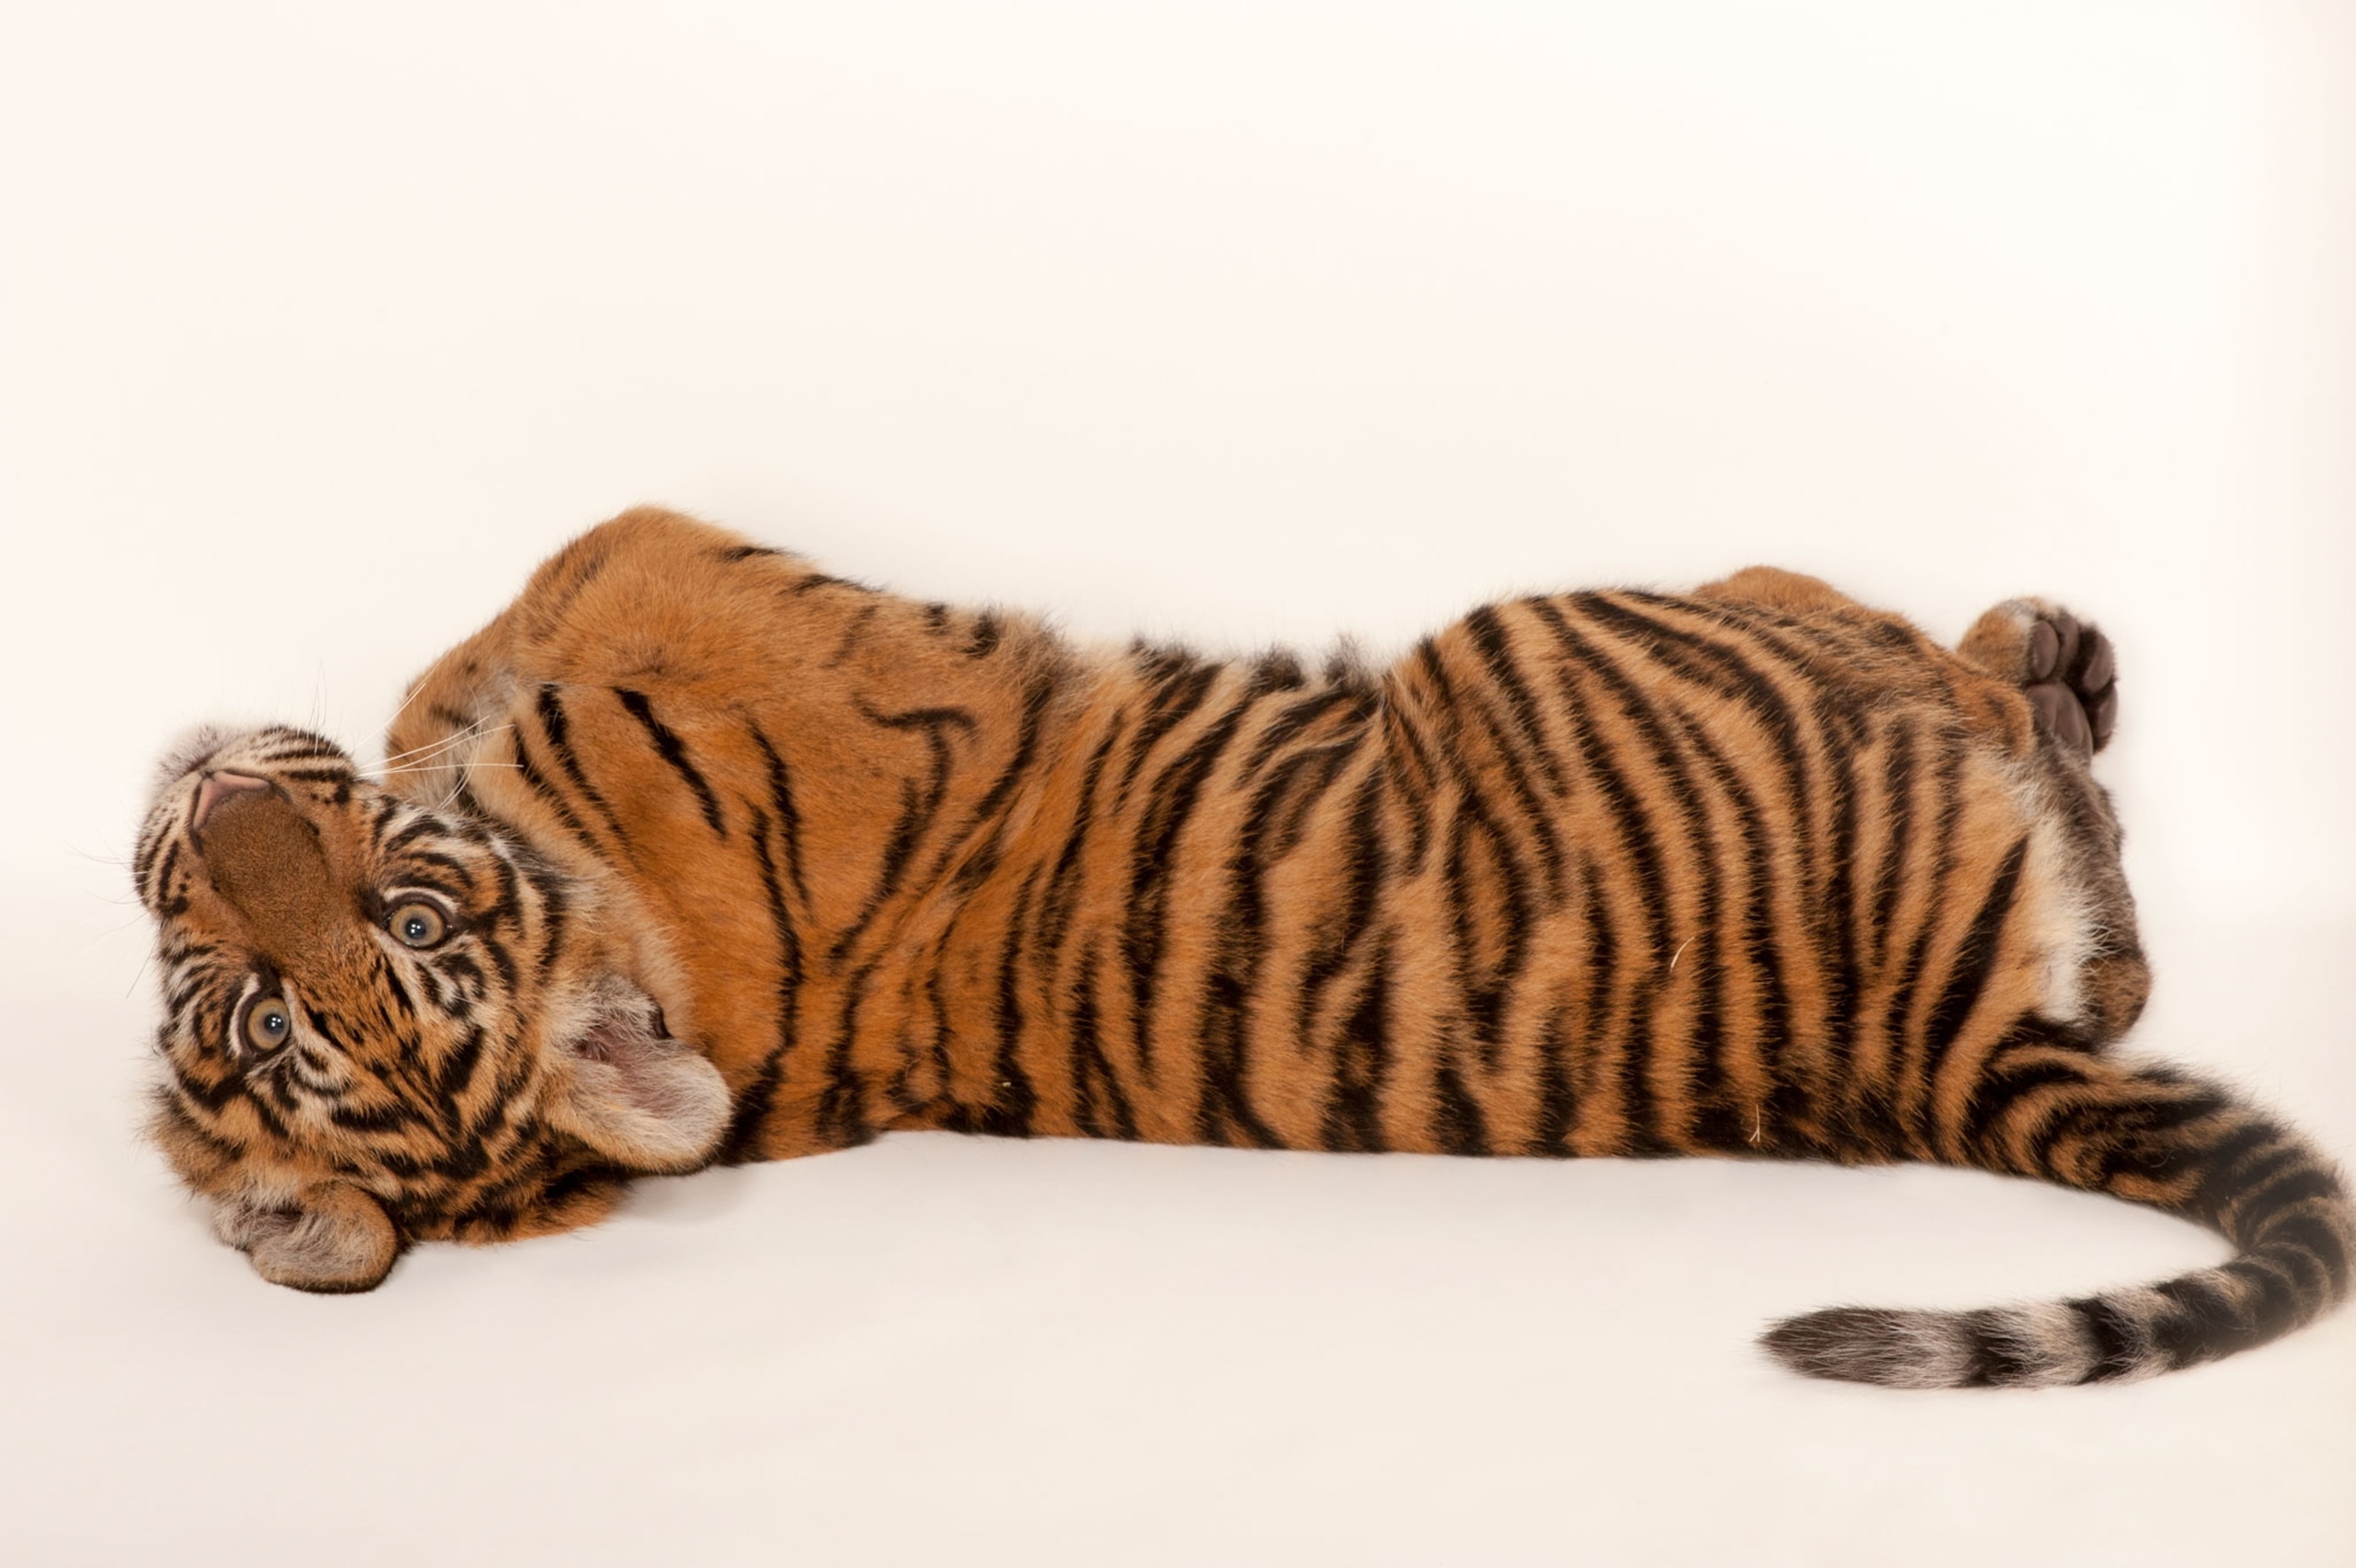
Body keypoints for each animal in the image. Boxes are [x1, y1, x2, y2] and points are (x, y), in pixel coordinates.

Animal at [132, 505, 2351, 1389]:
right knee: (1952, 686)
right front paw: (447, 692)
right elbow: (584, 564)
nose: (223, 798)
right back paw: (2047, 662)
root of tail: (1927, 1052)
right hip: (1613, 618)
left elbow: (553, 582)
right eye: (274, 991)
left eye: (389, 929)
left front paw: (425, 702)